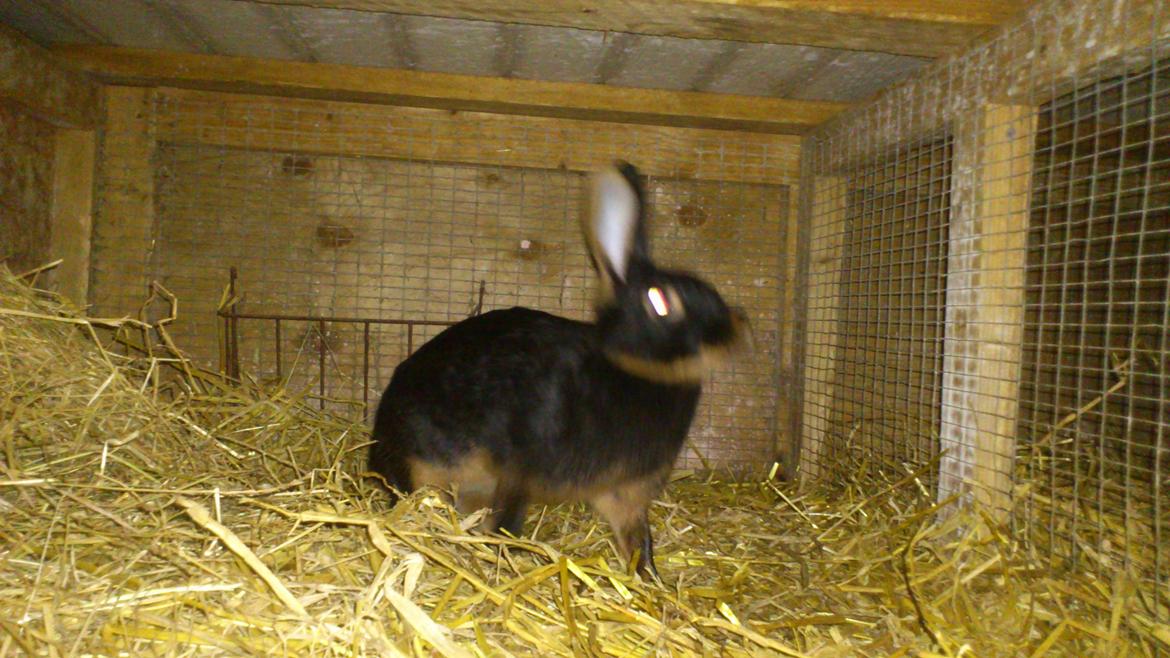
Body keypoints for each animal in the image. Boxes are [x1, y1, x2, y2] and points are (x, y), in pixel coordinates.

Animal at [368, 161, 746, 579]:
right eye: (660, 302)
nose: (735, 328)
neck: (635, 371)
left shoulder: (624, 493)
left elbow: (638, 540)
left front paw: (651, 582)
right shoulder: (521, 467)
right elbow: (508, 520)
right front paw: (509, 560)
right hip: (435, 460)